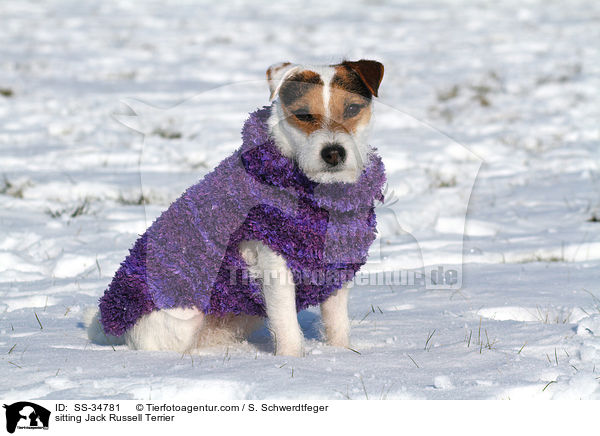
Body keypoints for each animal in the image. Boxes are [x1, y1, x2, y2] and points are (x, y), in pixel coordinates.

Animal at [88, 59, 390, 356]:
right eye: (303, 115)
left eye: (352, 108)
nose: (333, 153)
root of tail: (113, 325)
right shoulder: (274, 261)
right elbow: (287, 325)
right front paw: (292, 361)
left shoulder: (335, 266)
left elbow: (337, 323)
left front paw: (341, 355)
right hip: (182, 312)